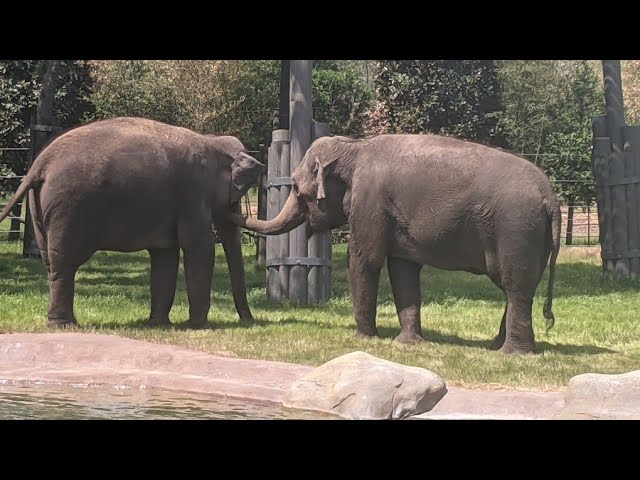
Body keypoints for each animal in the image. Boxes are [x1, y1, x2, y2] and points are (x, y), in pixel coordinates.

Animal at [0, 116, 264, 330]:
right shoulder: (192, 192)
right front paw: (199, 326)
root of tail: (40, 163)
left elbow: (165, 254)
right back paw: (65, 326)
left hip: (41, 206)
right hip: (69, 206)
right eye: (238, 194)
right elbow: (199, 248)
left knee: (50, 262)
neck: (211, 141)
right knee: (64, 262)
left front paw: (159, 324)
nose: (249, 321)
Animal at [235, 133, 560, 354]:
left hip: (517, 229)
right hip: (533, 235)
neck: (355, 147)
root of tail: (551, 197)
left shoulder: (369, 202)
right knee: (518, 287)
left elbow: (364, 261)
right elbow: (403, 269)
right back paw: (497, 345)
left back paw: (511, 353)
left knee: (515, 285)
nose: (237, 211)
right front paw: (408, 343)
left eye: (298, 190)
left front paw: (363, 339)